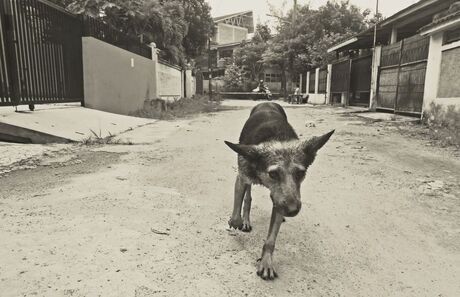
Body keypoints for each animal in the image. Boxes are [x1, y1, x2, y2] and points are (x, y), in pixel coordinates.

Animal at [224, 101, 334, 278]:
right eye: (273, 174)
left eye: (300, 173)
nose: (292, 210)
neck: (275, 137)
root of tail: (267, 101)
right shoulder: (242, 177)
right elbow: (235, 216)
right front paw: (237, 221)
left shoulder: (280, 200)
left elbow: (271, 239)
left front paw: (266, 262)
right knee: (248, 197)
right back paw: (246, 220)